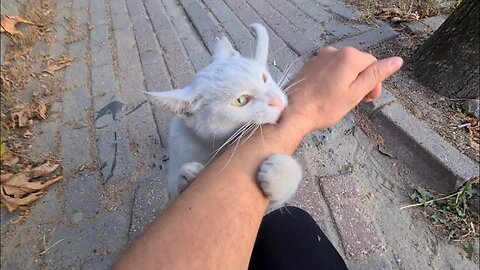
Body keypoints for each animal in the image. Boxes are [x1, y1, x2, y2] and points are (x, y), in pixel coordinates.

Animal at [145, 23, 300, 209]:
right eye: (240, 100)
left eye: (264, 78)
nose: (277, 101)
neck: (215, 145)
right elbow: (175, 190)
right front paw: (186, 176)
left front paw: (280, 174)